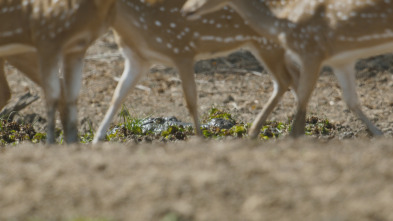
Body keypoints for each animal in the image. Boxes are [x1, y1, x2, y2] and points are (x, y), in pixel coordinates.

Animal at [182, 0, 388, 136]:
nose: (186, 9)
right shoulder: (340, 61)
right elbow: (351, 102)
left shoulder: (312, 55)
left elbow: (301, 105)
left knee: (286, 81)